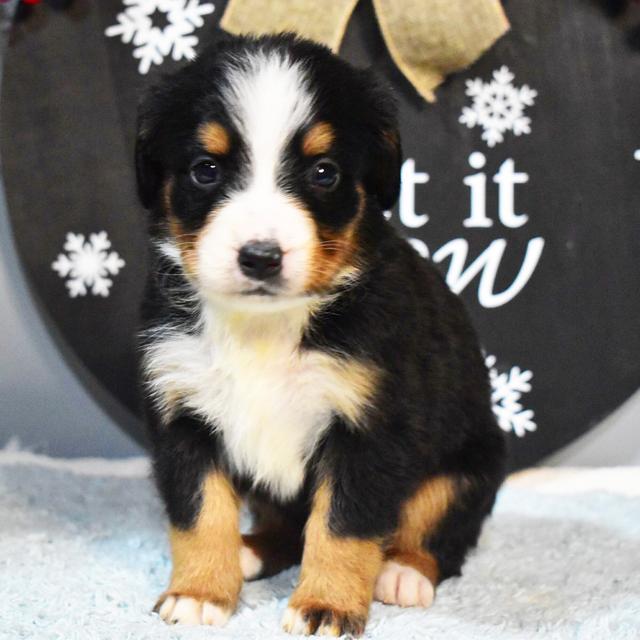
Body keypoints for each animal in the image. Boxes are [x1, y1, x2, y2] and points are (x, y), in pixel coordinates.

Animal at [138, 33, 508, 636]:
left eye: (324, 172)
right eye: (205, 169)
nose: (260, 256)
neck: (265, 326)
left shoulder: (370, 424)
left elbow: (343, 526)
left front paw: (326, 605)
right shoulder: (182, 412)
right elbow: (199, 513)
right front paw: (199, 592)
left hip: (470, 463)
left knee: (438, 532)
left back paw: (402, 571)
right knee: (285, 530)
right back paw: (249, 551)